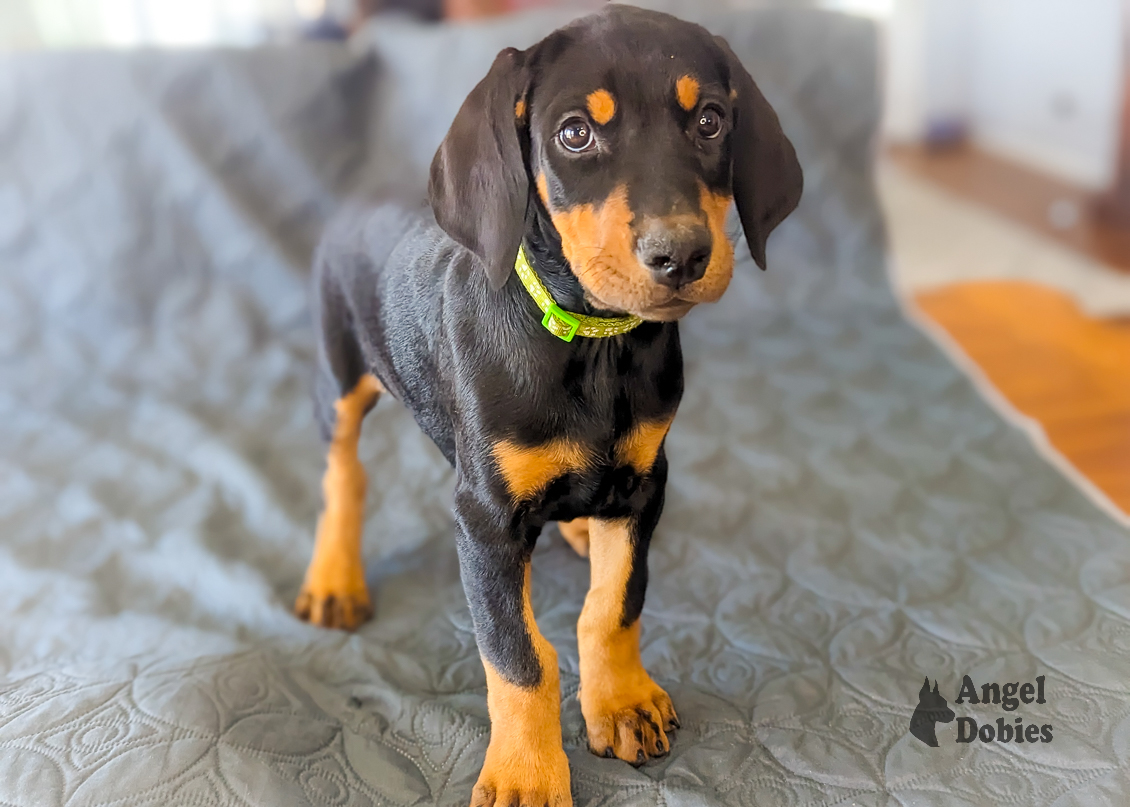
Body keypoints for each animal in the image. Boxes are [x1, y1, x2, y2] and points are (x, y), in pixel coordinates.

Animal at [296, 4, 800, 800]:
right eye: (574, 134)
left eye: (711, 121)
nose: (681, 254)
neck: (593, 346)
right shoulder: (484, 519)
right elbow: (518, 654)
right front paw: (526, 773)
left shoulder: (646, 482)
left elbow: (614, 606)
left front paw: (621, 701)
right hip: (338, 369)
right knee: (343, 472)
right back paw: (334, 575)